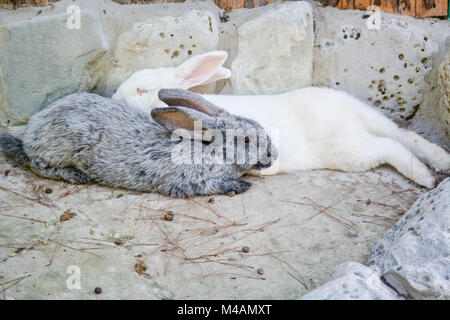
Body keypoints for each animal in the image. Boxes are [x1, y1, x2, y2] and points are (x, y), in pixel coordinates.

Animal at [0, 89, 276, 196]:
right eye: (247, 140)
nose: (273, 155)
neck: (208, 148)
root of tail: (32, 132)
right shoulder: (185, 180)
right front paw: (239, 185)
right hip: (65, 144)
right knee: (37, 164)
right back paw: (75, 175)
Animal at [113, 51, 450, 189]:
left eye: (141, 89)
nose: (114, 96)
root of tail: (353, 119)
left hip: (352, 152)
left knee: (391, 148)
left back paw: (425, 177)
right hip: (372, 122)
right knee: (405, 136)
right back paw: (441, 162)